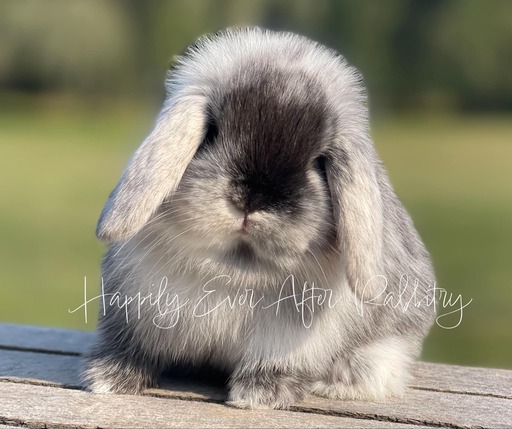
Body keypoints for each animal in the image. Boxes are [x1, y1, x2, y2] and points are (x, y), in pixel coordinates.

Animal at [83, 26, 436, 408]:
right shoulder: (133, 312)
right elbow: (132, 348)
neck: (234, 273)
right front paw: (110, 378)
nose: (251, 198)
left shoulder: (289, 335)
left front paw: (259, 394)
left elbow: (274, 363)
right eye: (212, 132)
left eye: (319, 161)